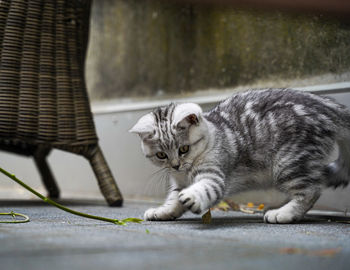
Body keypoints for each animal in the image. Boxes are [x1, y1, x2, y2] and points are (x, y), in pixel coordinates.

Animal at [129, 88, 350, 224]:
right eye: (161, 155)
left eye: (184, 149)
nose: (175, 165)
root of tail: (328, 106)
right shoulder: (178, 182)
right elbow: (173, 200)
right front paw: (164, 211)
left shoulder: (214, 174)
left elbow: (204, 188)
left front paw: (192, 196)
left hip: (289, 161)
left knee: (310, 191)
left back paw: (284, 213)